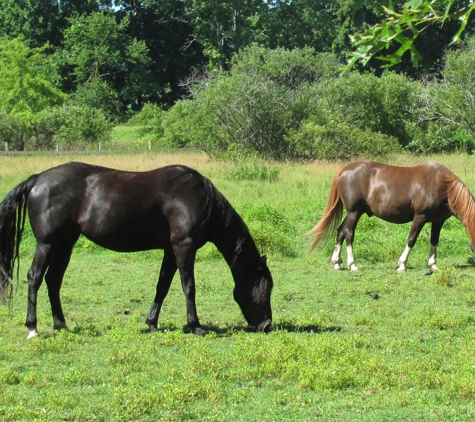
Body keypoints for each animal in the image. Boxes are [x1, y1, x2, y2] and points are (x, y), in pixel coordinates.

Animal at [0, 162, 274, 340]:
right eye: (264, 290)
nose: (267, 325)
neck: (200, 198)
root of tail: (38, 178)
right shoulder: (183, 246)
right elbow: (188, 286)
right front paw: (195, 326)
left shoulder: (170, 249)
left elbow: (162, 286)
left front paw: (152, 323)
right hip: (46, 243)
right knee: (35, 278)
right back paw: (33, 328)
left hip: (65, 242)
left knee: (53, 280)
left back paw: (61, 325)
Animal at [308, 160, 475, 272]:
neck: (443, 186)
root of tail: (342, 171)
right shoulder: (420, 217)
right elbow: (411, 239)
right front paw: (402, 264)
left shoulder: (438, 221)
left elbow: (434, 241)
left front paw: (433, 264)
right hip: (354, 212)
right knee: (348, 233)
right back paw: (352, 264)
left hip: (356, 212)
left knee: (340, 231)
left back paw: (336, 262)